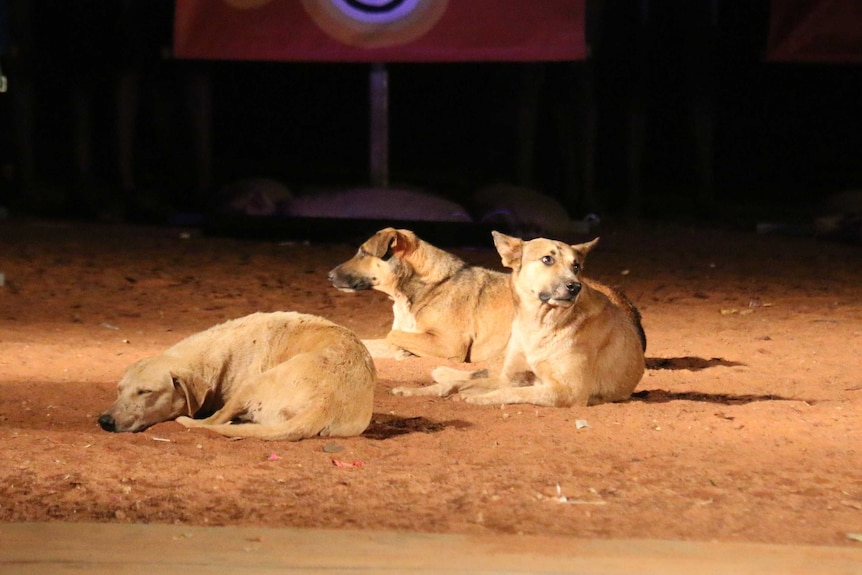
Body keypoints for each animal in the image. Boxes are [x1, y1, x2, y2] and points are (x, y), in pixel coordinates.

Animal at [98, 310, 374, 440]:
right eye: (119, 389)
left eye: (146, 392)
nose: (104, 421)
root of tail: (326, 403)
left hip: (252, 385)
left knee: (212, 422)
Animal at [394, 233, 648, 410]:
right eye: (547, 259)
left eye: (576, 266)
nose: (575, 286)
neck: (537, 324)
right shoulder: (513, 377)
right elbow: (467, 384)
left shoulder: (567, 390)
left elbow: (510, 393)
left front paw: (478, 398)